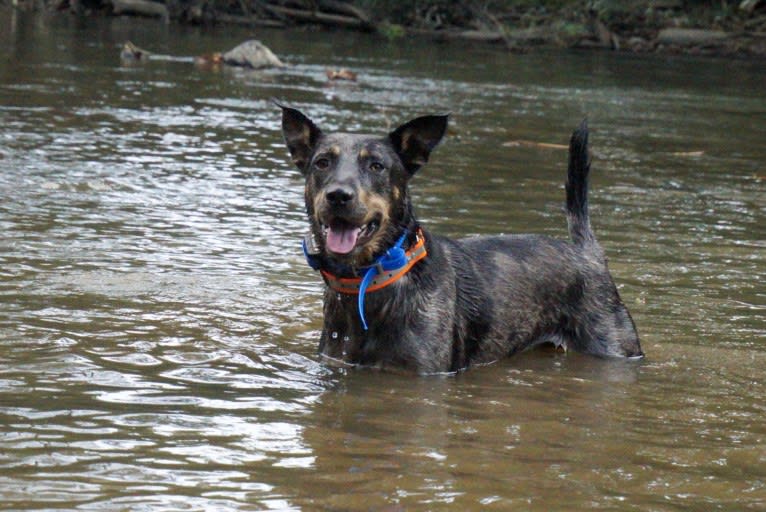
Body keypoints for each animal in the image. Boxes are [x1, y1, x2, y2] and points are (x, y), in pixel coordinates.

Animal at [280, 106, 640, 374]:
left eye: (377, 166)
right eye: (322, 162)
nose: (338, 195)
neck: (371, 281)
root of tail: (586, 251)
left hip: (615, 345)